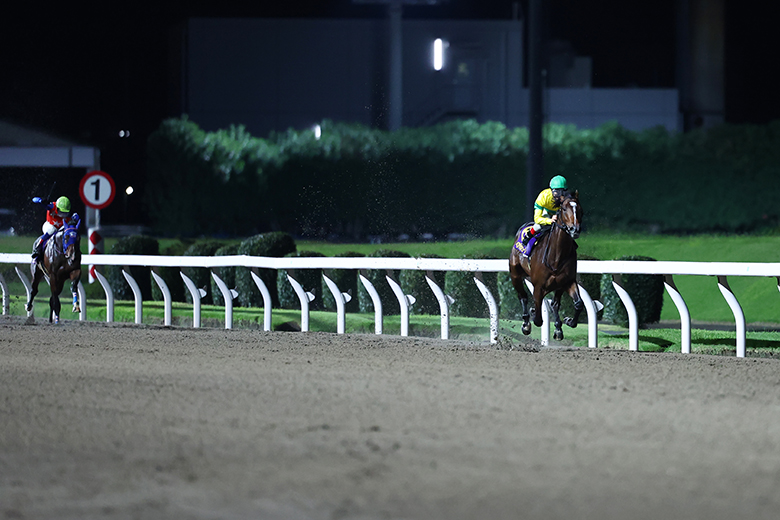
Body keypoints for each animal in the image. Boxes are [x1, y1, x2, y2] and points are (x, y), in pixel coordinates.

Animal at [509, 192, 584, 340]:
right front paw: (532, 314)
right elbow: (538, 318)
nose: (575, 229)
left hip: (558, 286)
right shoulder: (539, 286)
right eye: (564, 209)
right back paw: (526, 323)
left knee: (555, 304)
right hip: (515, 275)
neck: (556, 256)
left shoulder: (567, 282)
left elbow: (578, 304)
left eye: (579, 208)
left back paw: (558, 328)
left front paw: (568, 321)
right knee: (523, 296)